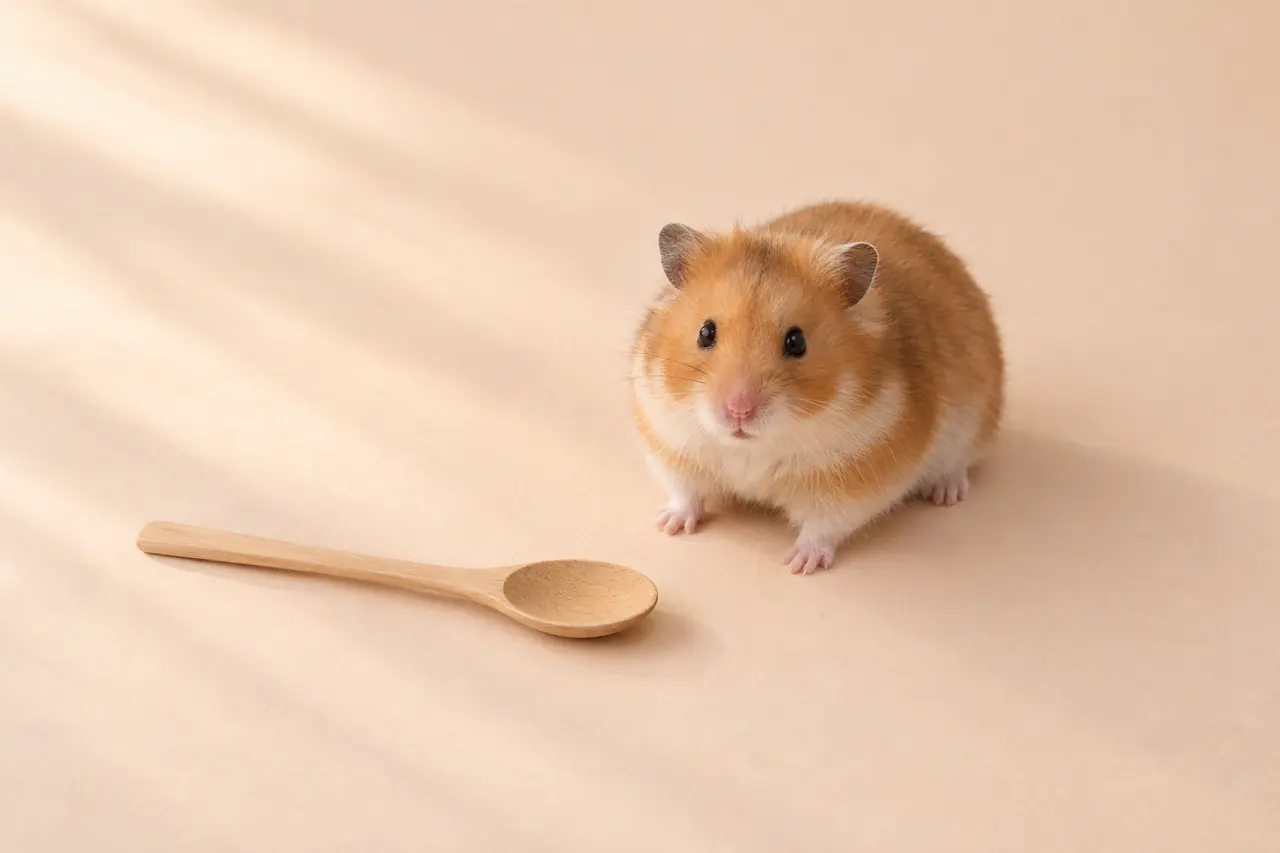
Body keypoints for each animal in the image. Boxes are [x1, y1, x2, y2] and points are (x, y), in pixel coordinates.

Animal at [630, 201, 1004, 574]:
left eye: (797, 342)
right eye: (705, 333)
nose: (738, 410)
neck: (752, 447)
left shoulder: (853, 485)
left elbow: (823, 527)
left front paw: (798, 564)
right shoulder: (671, 447)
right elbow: (685, 494)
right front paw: (668, 525)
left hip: (974, 420)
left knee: (958, 464)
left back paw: (945, 494)